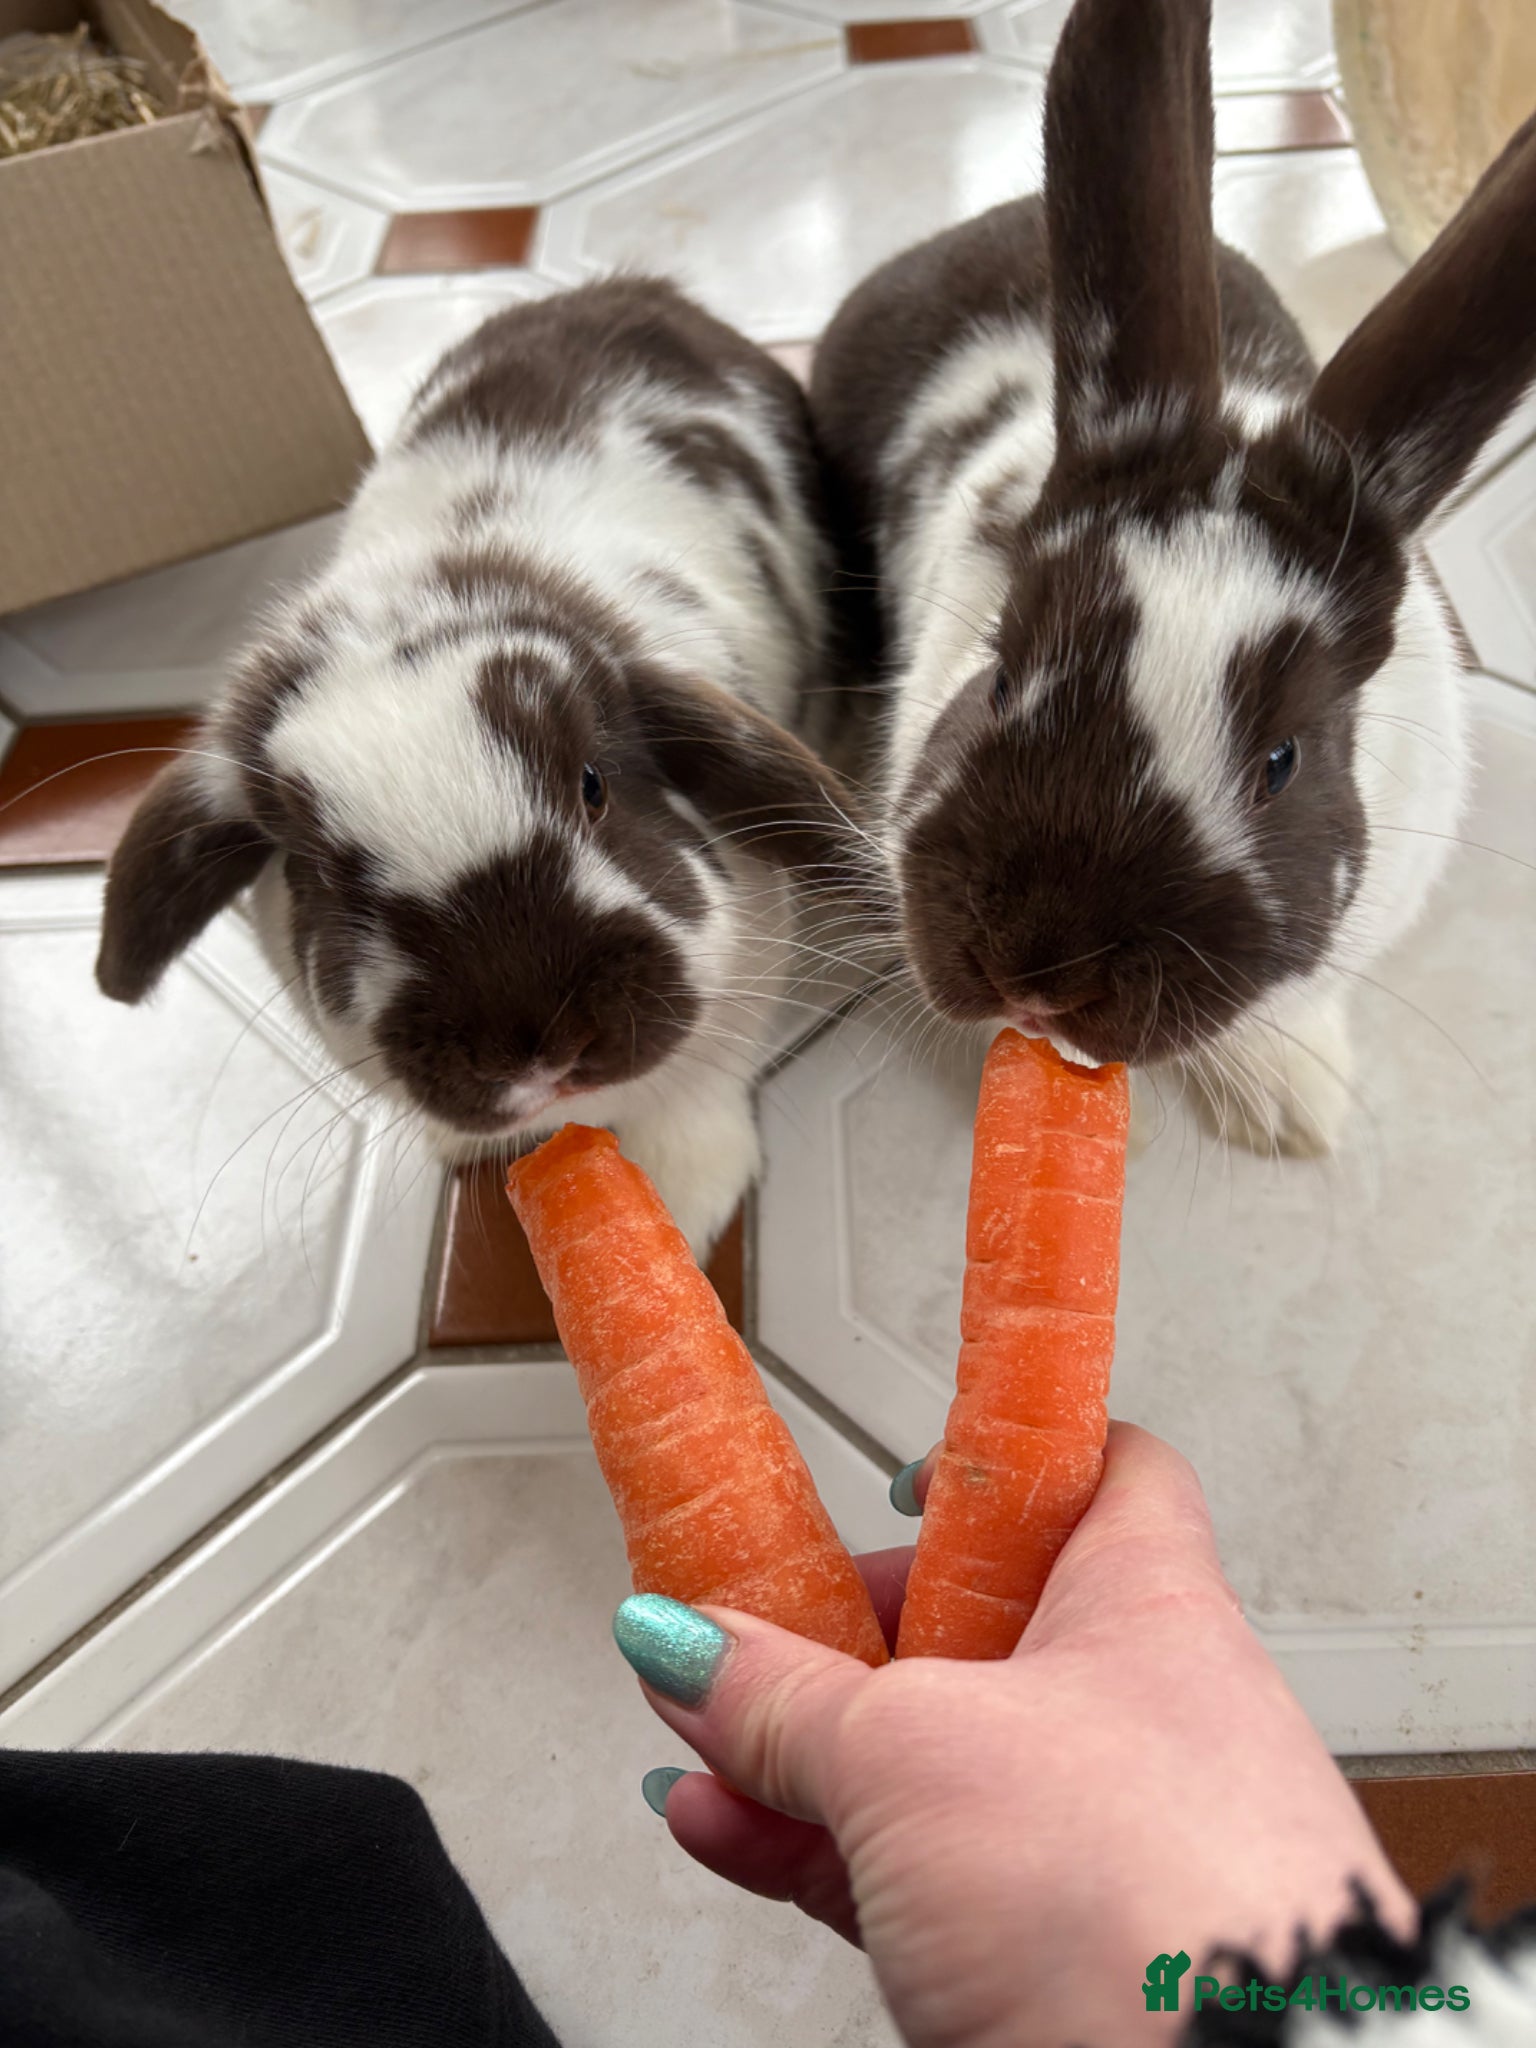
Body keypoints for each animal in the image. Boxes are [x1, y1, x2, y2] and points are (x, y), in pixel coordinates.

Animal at [96, 277, 871, 1254]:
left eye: (593, 787)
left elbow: (699, 1088)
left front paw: (681, 1203)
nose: (539, 1043)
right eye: (320, 875)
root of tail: (633, 287)